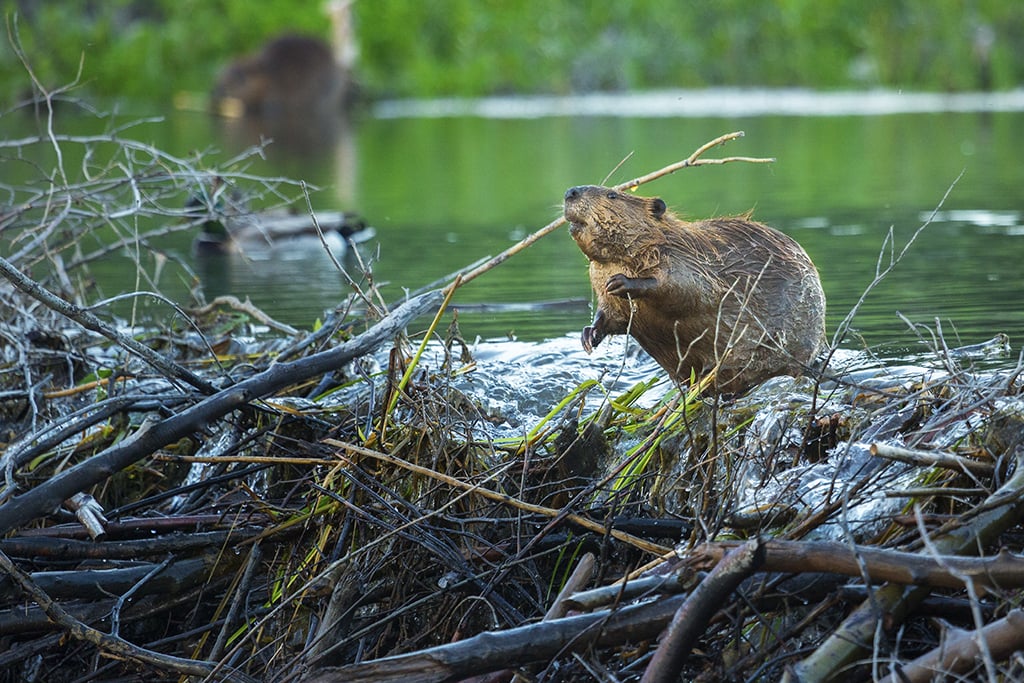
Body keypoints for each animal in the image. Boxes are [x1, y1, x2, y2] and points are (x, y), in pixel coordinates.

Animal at [564, 185, 826, 394]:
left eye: (612, 195)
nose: (571, 192)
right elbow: (611, 315)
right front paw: (588, 336)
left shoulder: (684, 258)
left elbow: (688, 289)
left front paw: (622, 282)